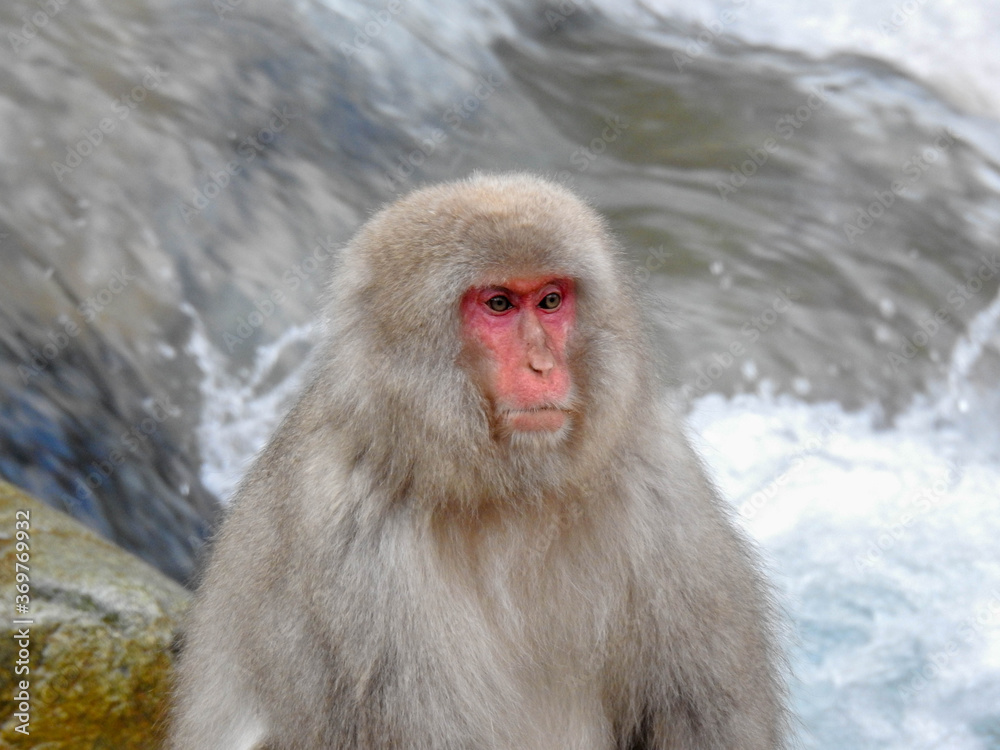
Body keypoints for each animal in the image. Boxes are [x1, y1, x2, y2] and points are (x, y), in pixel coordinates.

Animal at [169, 173, 788, 749]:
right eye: (498, 304)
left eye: (550, 300)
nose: (543, 365)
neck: (504, 494)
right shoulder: (347, 542)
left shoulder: (660, 479)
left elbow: (704, 715)